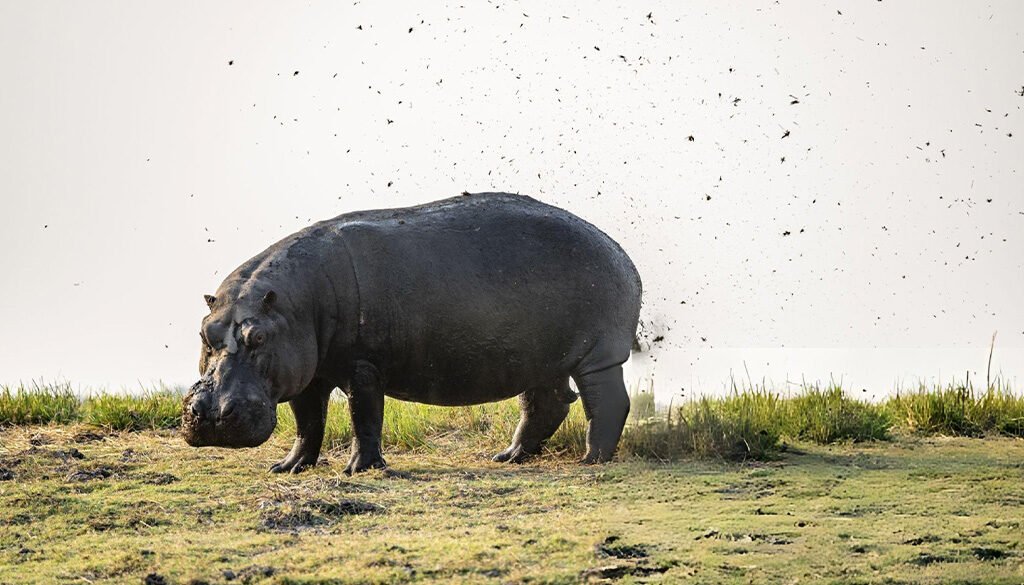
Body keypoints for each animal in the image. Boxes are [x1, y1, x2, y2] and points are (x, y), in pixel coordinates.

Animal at [182, 192, 642, 473]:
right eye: (205, 333)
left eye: (257, 338)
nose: (210, 415)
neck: (293, 304)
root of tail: (619, 251)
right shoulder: (308, 374)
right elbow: (308, 423)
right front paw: (289, 467)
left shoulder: (363, 366)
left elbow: (364, 416)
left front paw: (360, 469)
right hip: (540, 358)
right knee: (547, 404)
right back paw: (507, 458)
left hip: (598, 355)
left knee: (607, 403)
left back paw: (592, 460)